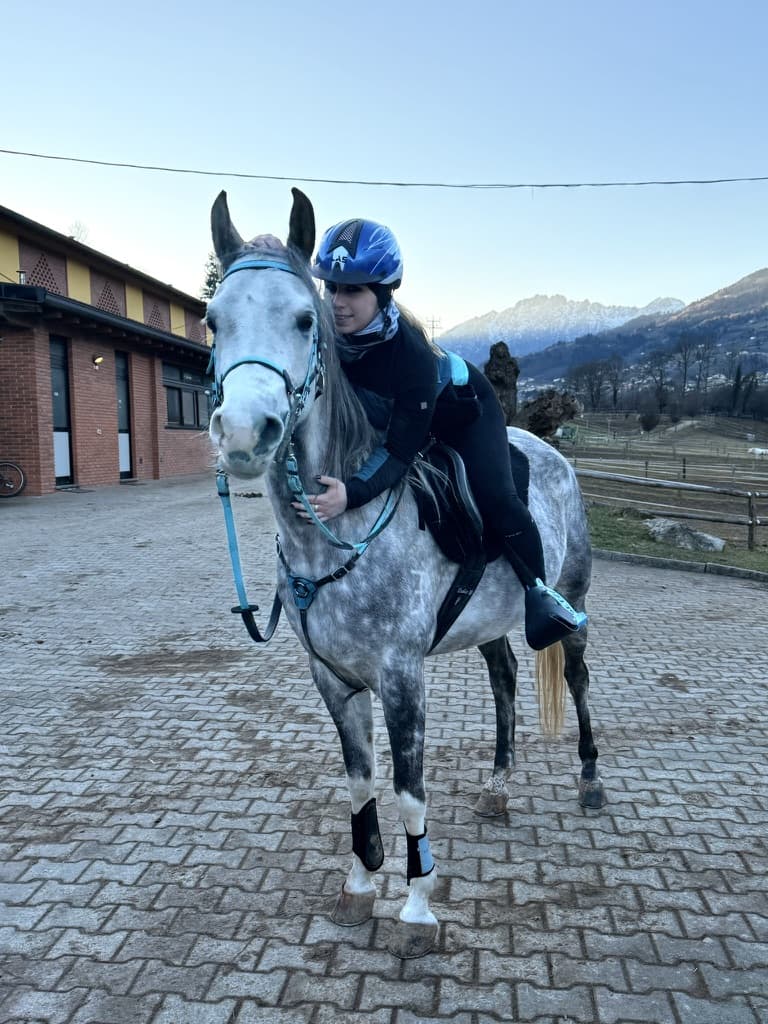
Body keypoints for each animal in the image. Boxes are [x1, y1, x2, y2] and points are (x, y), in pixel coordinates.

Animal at [206, 188, 605, 958]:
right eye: (213, 319)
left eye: (305, 319)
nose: (244, 433)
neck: (334, 538)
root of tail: (548, 449)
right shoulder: (333, 679)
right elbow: (361, 783)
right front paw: (362, 881)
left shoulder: (400, 675)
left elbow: (409, 788)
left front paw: (418, 907)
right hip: (488, 624)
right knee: (506, 683)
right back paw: (498, 788)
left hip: (568, 596)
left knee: (573, 673)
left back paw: (591, 779)